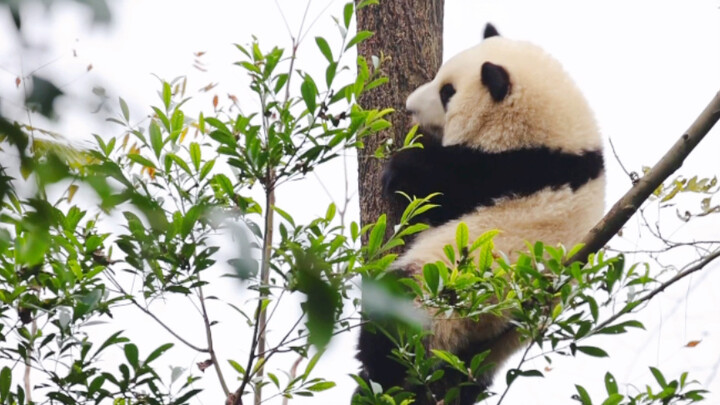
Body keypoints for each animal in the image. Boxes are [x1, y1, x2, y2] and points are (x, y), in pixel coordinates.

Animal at [358, 25, 604, 404]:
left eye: (447, 93)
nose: (410, 106)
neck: (563, 147)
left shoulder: (508, 171)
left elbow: (442, 186)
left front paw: (399, 170)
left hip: (444, 287)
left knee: (392, 318)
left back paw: (376, 378)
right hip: (492, 347)